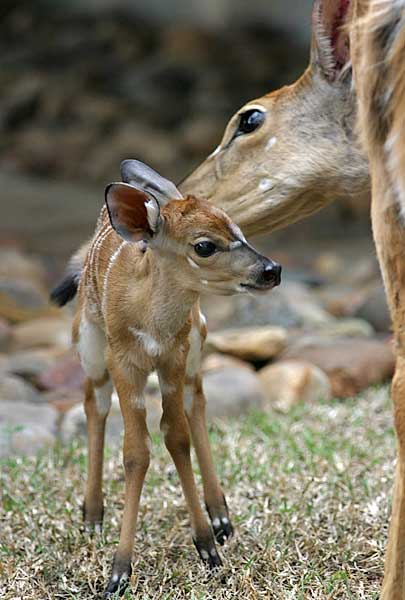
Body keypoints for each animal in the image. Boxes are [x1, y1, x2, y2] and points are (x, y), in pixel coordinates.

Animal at [52, 159, 280, 596]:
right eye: (204, 245)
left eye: (238, 229)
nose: (271, 270)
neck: (153, 323)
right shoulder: (124, 361)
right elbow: (135, 452)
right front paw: (118, 573)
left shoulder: (175, 357)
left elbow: (176, 437)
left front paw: (209, 547)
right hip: (89, 343)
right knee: (94, 403)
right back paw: (91, 516)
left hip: (197, 339)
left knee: (196, 401)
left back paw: (220, 515)